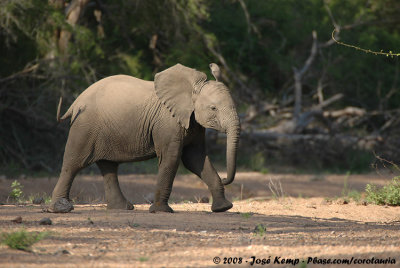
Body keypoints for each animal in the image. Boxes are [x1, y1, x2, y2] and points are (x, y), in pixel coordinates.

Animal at [48, 62, 239, 214]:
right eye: (213, 108)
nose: (225, 178)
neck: (191, 89)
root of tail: (75, 103)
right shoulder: (167, 122)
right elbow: (172, 158)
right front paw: (161, 211)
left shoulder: (193, 123)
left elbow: (196, 159)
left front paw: (223, 208)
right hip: (84, 125)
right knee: (73, 163)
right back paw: (61, 209)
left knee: (108, 166)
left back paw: (122, 208)